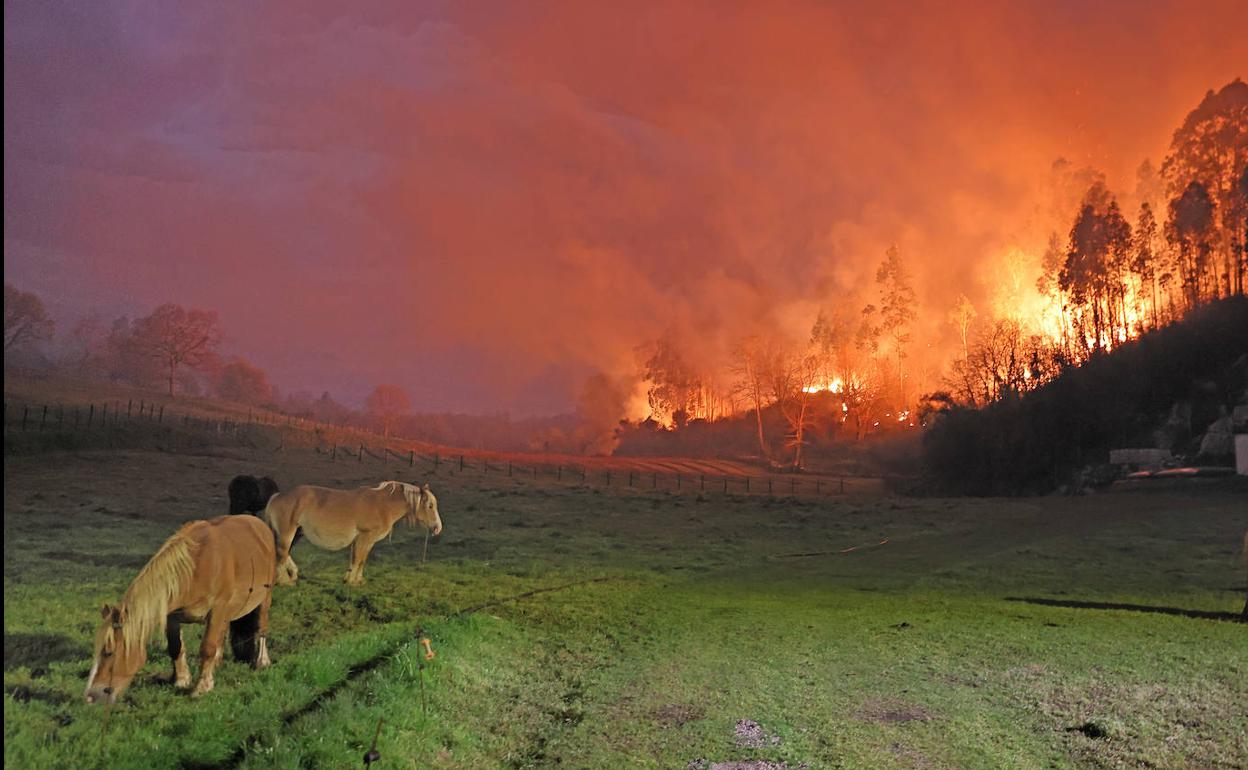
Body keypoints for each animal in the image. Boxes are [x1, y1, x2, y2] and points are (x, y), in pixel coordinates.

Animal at [84, 516, 275, 703]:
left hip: (264, 599)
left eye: (108, 652)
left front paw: (201, 687)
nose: (90, 696)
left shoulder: (217, 610)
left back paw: (262, 661)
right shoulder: (172, 616)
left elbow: (207, 648)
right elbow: (175, 647)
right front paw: (181, 680)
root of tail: (258, 523)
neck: (195, 568)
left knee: (261, 627)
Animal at [263, 479, 444, 581]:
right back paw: (285, 580)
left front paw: (356, 580)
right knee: (281, 552)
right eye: (430, 505)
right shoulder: (365, 537)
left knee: (283, 553)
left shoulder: (366, 541)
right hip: (287, 533)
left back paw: (292, 574)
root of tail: (278, 496)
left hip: (297, 532)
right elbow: (358, 558)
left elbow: (361, 560)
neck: (383, 505)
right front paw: (351, 580)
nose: (437, 528)